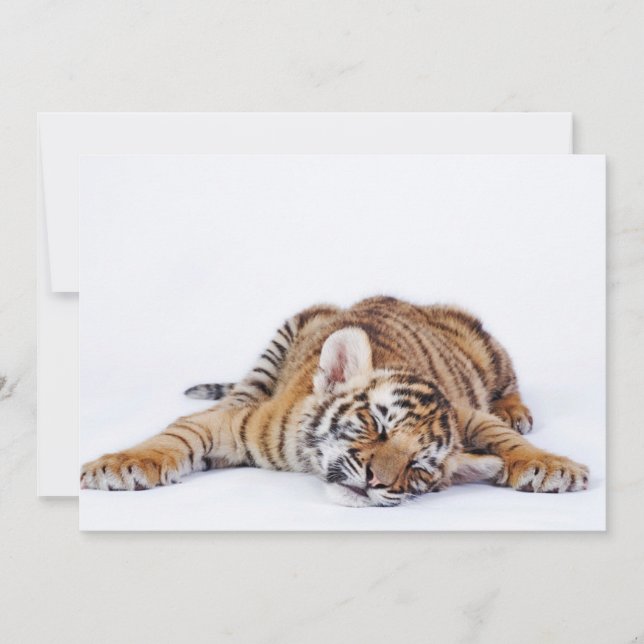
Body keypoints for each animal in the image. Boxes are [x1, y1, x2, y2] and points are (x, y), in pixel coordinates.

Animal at [80, 296, 589, 507]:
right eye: (376, 425)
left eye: (419, 466)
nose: (374, 481)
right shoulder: (235, 426)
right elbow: (178, 434)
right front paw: (122, 466)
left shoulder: (468, 415)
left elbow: (500, 436)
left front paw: (553, 466)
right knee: (238, 393)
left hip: (487, 352)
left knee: (508, 386)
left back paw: (515, 410)